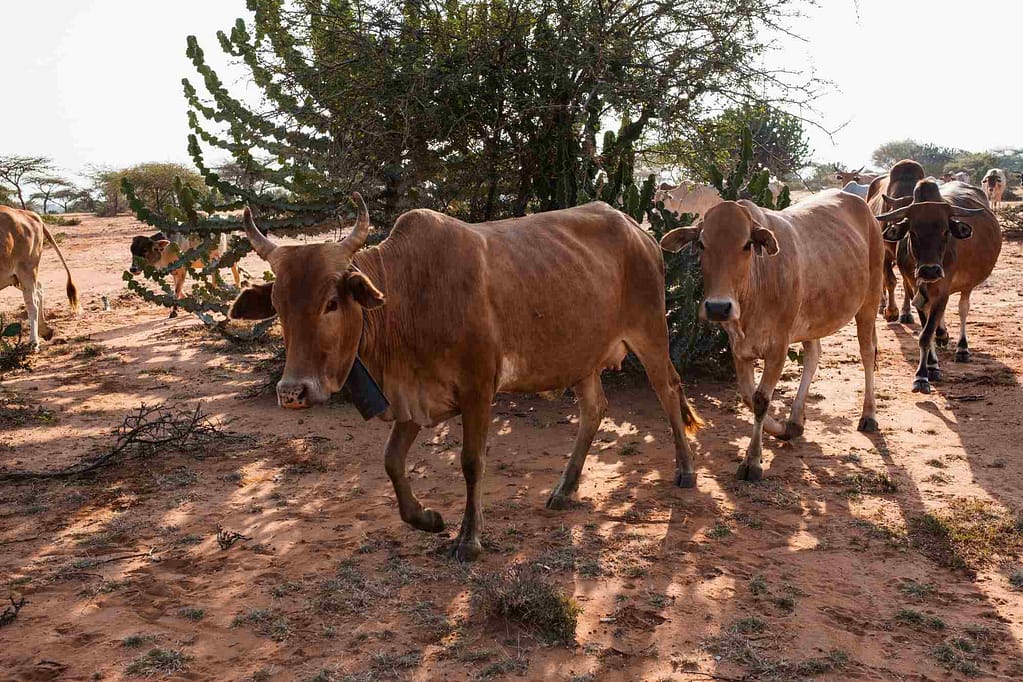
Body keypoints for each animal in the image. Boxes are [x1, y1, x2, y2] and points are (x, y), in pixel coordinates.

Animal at [1, 206, 79, 347]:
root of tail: (30, 214)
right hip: (14, 277)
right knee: (39, 289)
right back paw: (44, 330)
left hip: (26, 270)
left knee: (33, 303)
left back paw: (34, 342)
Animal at [228, 194, 703, 561]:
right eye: (278, 306)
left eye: (331, 303)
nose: (293, 392)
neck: (408, 296)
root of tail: (639, 232)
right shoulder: (414, 397)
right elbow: (391, 461)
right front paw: (427, 519)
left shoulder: (478, 391)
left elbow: (472, 463)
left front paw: (468, 539)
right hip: (580, 357)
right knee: (594, 410)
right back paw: (564, 490)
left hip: (650, 333)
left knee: (668, 391)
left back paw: (685, 471)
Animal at [658, 190, 883, 481]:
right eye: (702, 244)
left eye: (746, 245)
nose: (718, 307)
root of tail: (863, 207)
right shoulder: (739, 347)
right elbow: (748, 396)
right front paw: (784, 429)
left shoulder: (778, 347)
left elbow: (761, 400)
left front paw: (752, 461)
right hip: (812, 318)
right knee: (813, 356)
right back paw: (796, 419)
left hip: (870, 301)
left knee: (867, 353)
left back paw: (869, 415)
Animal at [867, 160, 926, 324]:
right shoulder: (885, 254)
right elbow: (890, 281)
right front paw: (891, 312)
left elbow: (906, 284)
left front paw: (906, 313)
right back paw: (882, 305)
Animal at [874, 179, 1001, 393]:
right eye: (913, 232)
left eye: (945, 231)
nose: (930, 271)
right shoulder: (914, 288)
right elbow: (927, 330)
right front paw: (931, 366)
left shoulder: (943, 290)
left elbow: (927, 333)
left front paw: (921, 376)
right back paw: (943, 336)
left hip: (967, 286)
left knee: (963, 309)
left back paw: (962, 348)